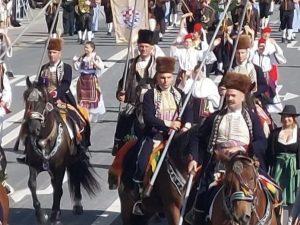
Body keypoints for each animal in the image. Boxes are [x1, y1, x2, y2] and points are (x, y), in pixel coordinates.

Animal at [21, 76, 101, 224]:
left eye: (42, 101)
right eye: (27, 101)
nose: (33, 129)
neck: (44, 139)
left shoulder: (60, 167)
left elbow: (58, 189)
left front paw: (54, 215)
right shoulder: (34, 165)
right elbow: (32, 184)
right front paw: (40, 215)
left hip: (74, 159)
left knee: (75, 176)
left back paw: (77, 205)